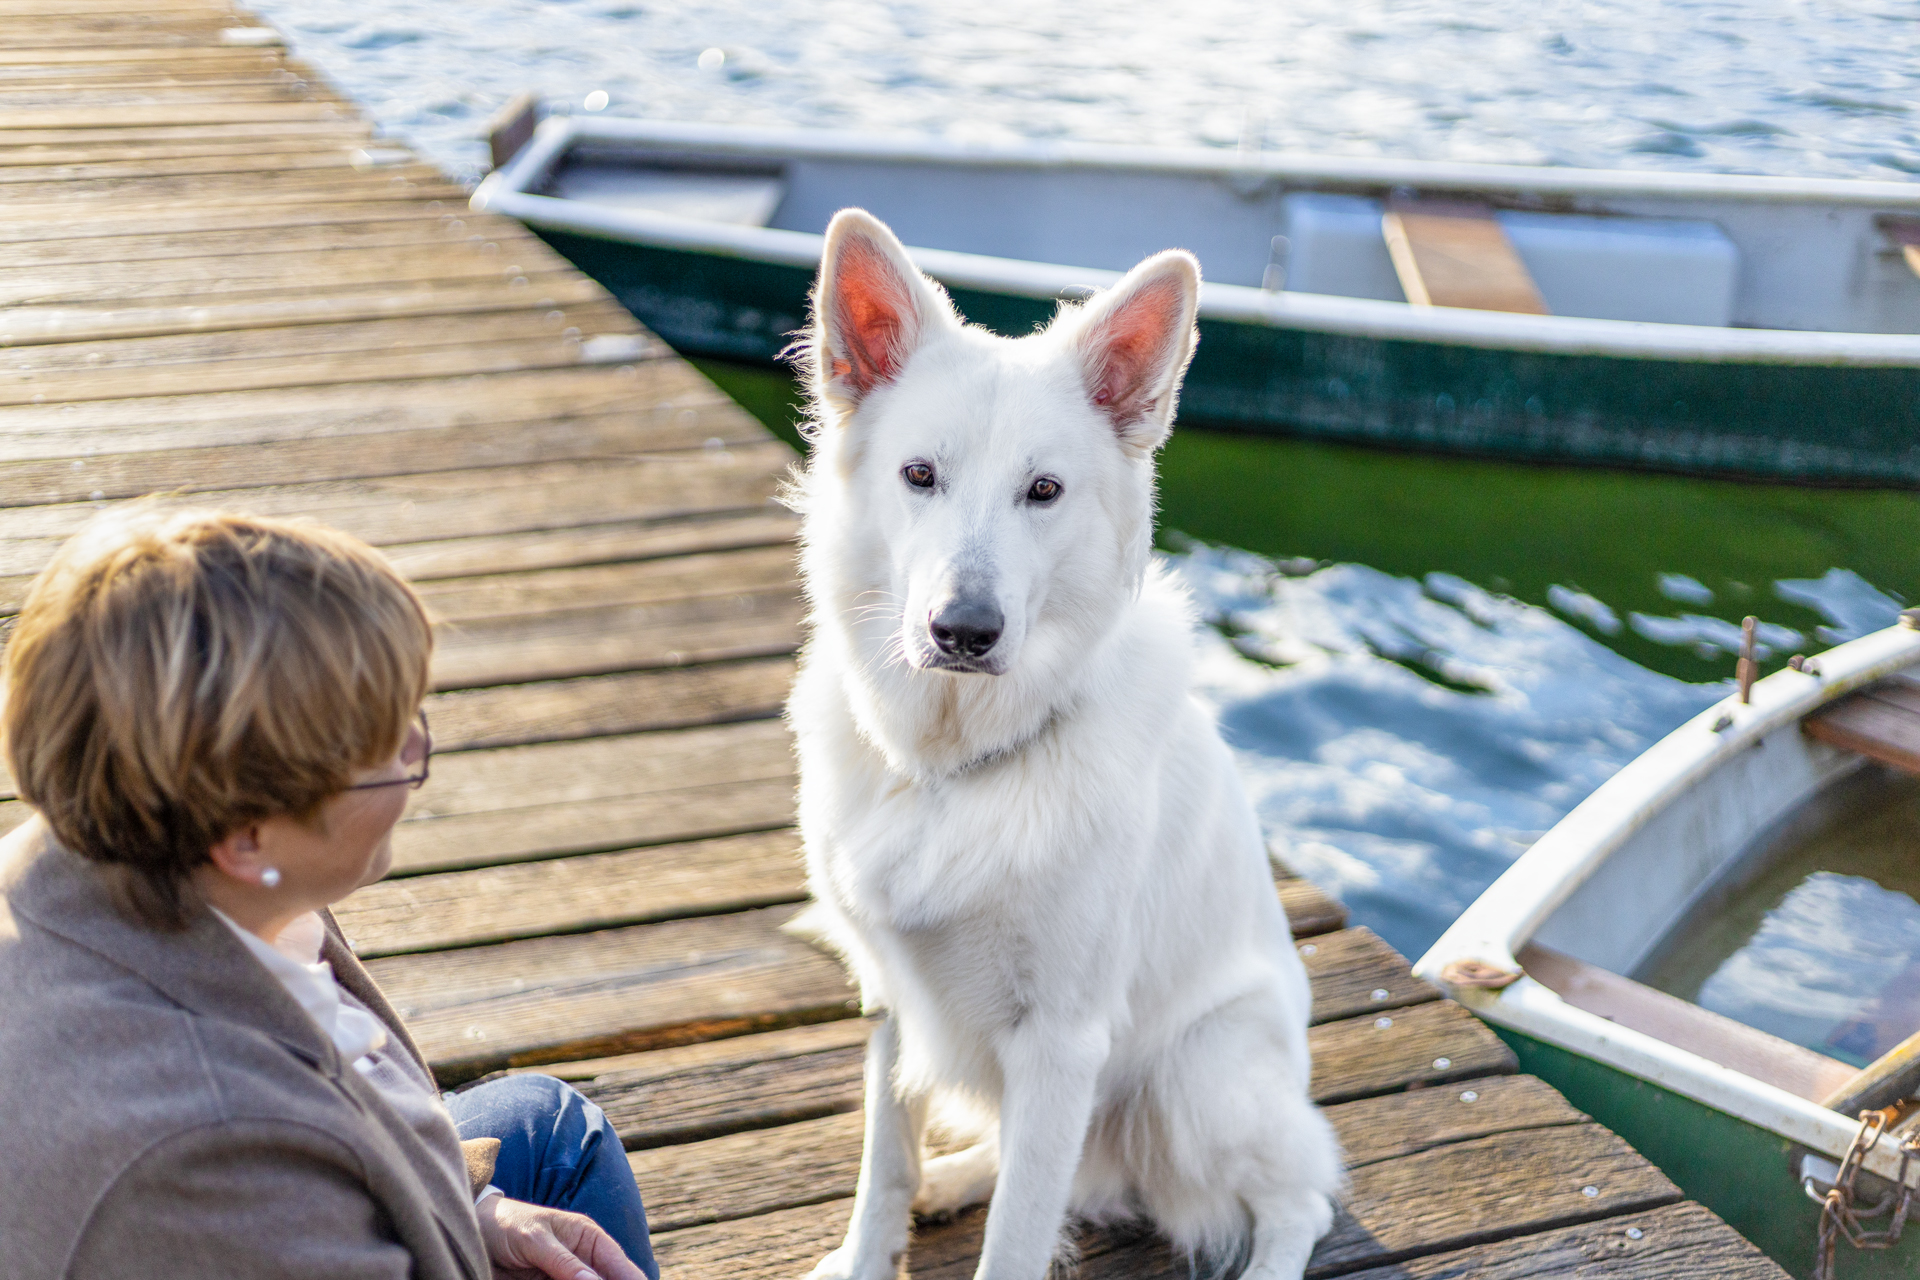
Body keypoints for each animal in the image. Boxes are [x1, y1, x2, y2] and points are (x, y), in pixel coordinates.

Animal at [787, 213, 1344, 1280]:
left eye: (1042, 491)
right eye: (919, 476)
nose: (964, 632)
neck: (951, 770)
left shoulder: (1061, 1041)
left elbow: (1017, 1235)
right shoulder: (892, 998)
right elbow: (885, 1163)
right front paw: (876, 1245)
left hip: (1200, 1078)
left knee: (1300, 1200)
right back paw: (956, 1176)